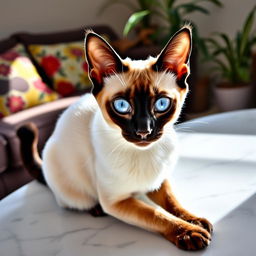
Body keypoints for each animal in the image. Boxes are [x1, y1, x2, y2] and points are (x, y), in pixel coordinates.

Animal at [18, 26, 212, 250]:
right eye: (122, 106)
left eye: (161, 104)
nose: (143, 131)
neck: (144, 153)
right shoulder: (116, 202)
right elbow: (156, 215)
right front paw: (188, 232)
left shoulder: (159, 182)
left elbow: (173, 203)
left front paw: (195, 221)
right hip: (70, 182)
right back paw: (95, 209)